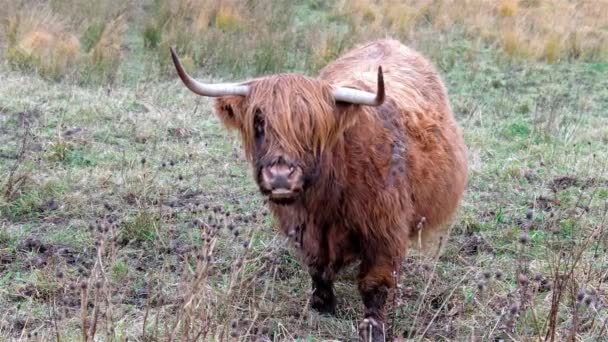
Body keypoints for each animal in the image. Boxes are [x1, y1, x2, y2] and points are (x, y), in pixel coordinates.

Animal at [171, 38, 470, 340]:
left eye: (311, 126)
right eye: (259, 122)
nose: (280, 176)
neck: (326, 199)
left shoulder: (385, 229)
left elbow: (376, 281)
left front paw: (372, 327)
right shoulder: (300, 226)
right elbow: (316, 266)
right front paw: (321, 304)